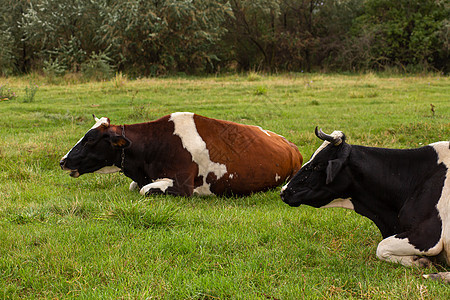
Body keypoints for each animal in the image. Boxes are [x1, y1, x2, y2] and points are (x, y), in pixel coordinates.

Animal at [60, 112, 302, 197]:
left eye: (90, 139)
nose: (63, 161)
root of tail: (291, 145)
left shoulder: (183, 185)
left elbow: (145, 190)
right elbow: (135, 187)